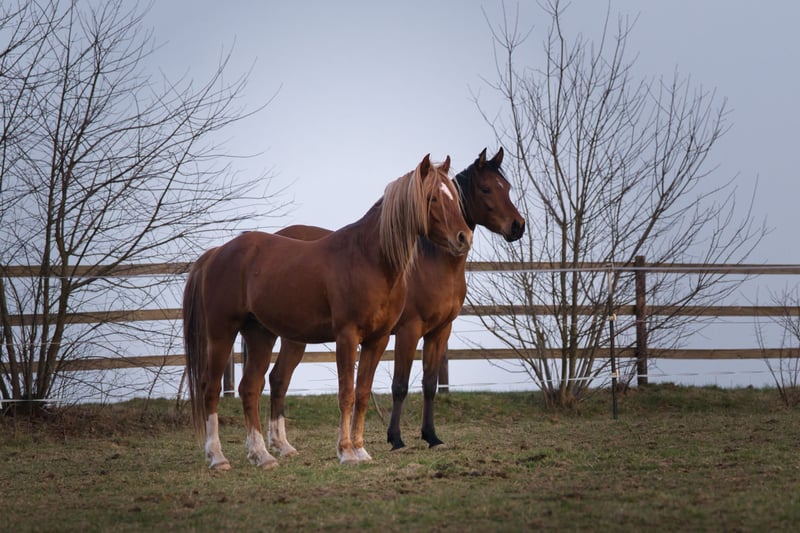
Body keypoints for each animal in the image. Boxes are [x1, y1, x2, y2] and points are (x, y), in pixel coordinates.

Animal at [183, 154, 472, 469]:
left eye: (454, 196)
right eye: (431, 198)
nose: (464, 237)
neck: (369, 259)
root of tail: (217, 252)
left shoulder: (378, 339)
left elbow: (362, 393)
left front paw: (360, 449)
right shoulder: (348, 336)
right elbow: (346, 393)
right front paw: (345, 451)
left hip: (260, 335)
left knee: (250, 388)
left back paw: (262, 455)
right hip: (222, 333)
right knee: (211, 389)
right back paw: (217, 457)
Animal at [268, 147, 525, 456]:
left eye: (506, 188)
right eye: (486, 189)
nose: (518, 226)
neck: (432, 263)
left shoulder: (440, 331)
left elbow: (429, 384)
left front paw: (431, 436)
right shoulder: (408, 331)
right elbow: (400, 385)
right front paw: (396, 439)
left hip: (294, 335)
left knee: (278, 379)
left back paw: (281, 445)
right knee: (278, 379)